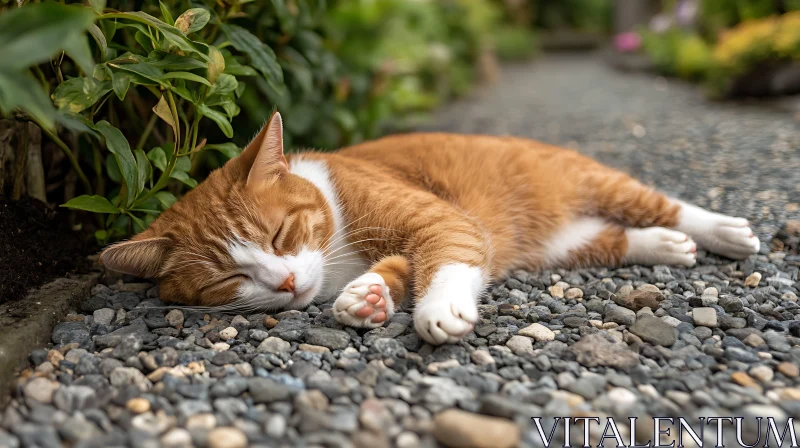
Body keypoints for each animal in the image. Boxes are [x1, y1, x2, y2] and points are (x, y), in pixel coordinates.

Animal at [101, 112, 764, 344]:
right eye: (227, 280)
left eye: (281, 236)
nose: (286, 284)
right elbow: (398, 269)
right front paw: (369, 297)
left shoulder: (440, 220)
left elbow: (445, 258)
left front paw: (438, 308)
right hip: (564, 246)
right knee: (614, 237)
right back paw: (667, 247)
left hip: (594, 182)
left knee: (661, 204)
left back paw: (721, 231)